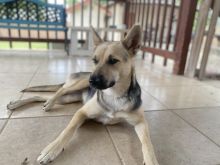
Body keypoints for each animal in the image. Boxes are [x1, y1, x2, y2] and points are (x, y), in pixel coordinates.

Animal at [6, 24, 158, 165]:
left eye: (113, 60)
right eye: (94, 60)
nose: (92, 81)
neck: (114, 95)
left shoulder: (140, 122)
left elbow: (147, 143)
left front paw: (151, 159)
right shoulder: (81, 112)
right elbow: (68, 130)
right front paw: (52, 149)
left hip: (70, 98)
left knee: (42, 97)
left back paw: (23, 103)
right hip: (77, 85)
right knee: (60, 90)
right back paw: (44, 104)